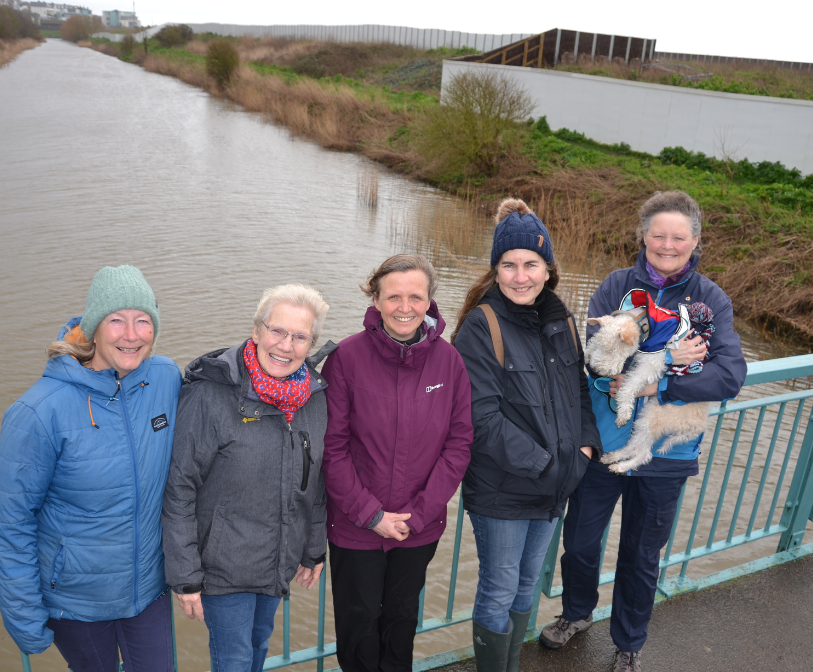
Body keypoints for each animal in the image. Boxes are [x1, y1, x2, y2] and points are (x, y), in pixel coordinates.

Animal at [584, 296, 712, 476]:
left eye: (611, 350)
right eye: (597, 345)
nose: (595, 370)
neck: (644, 322)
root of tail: (700, 423)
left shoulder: (651, 364)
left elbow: (629, 386)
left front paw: (623, 414)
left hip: (654, 415)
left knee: (644, 453)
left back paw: (620, 466)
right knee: (635, 447)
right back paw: (612, 458)